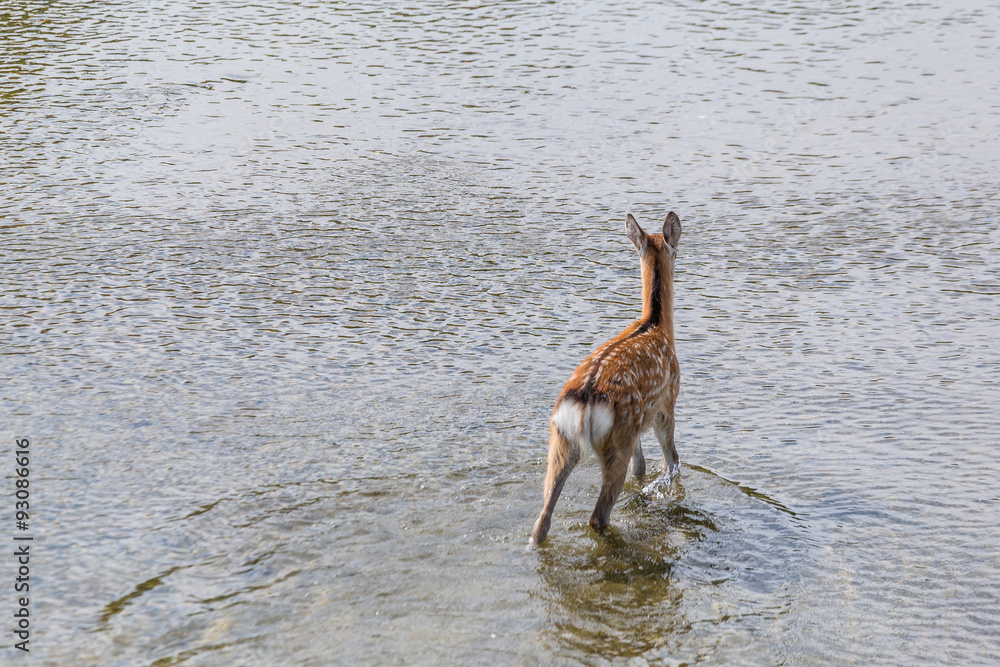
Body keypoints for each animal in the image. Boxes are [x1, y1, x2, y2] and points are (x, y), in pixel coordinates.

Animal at [529, 211, 682, 547]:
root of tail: (585, 402)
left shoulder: (639, 425)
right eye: (675, 250)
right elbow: (671, 461)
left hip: (562, 439)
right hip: (618, 438)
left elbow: (641, 468)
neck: (658, 324)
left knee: (543, 517)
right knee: (598, 514)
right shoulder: (666, 405)